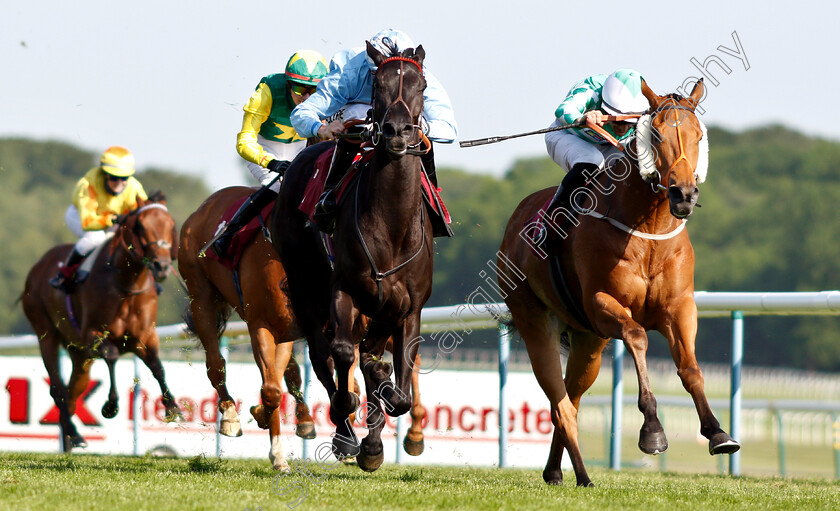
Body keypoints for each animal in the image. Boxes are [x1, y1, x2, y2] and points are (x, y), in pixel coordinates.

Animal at [20, 192, 180, 452]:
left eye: (171, 225)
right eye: (141, 226)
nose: (162, 266)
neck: (126, 284)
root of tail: (38, 266)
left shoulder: (144, 336)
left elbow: (158, 366)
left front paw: (173, 407)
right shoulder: (93, 335)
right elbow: (112, 356)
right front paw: (110, 406)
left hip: (79, 355)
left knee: (73, 390)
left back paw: (69, 438)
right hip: (46, 334)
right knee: (57, 389)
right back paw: (75, 434)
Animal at [179, 186, 316, 474]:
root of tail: (203, 207)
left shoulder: (288, 326)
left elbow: (278, 381)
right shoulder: (263, 324)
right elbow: (271, 388)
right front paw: (277, 452)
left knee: (290, 374)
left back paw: (304, 419)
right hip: (200, 296)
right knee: (215, 362)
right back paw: (230, 414)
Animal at [274, 43, 436, 472]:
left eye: (421, 85)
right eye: (378, 85)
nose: (397, 131)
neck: (392, 226)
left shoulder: (407, 308)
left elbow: (397, 381)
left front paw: (377, 437)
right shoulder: (344, 289)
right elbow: (344, 357)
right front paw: (348, 422)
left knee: (368, 361)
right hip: (305, 285)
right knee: (323, 355)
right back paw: (348, 436)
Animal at [502, 80, 740, 488]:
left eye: (698, 134)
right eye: (656, 134)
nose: (684, 194)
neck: (647, 230)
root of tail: (516, 218)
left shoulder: (679, 307)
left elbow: (690, 368)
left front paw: (717, 432)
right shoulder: (602, 304)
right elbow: (637, 336)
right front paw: (653, 431)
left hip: (588, 343)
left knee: (571, 398)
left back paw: (555, 470)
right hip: (534, 319)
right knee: (560, 404)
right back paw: (583, 476)